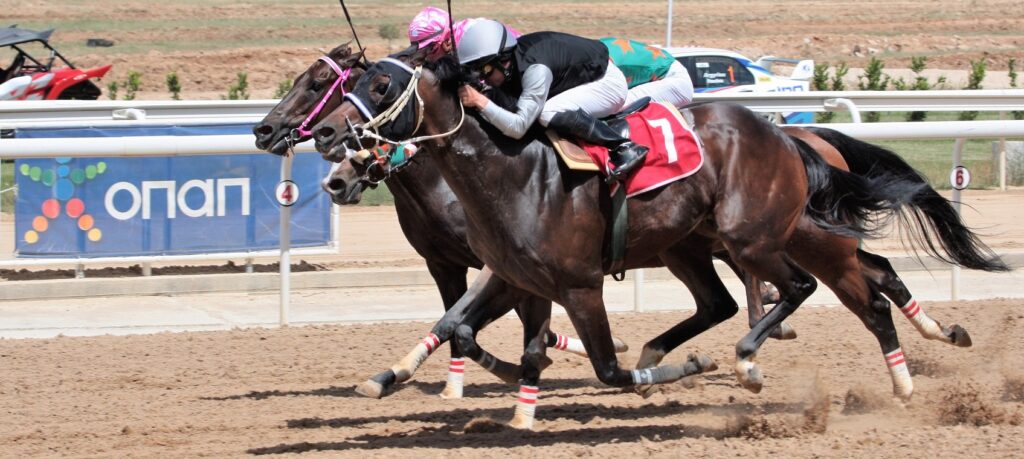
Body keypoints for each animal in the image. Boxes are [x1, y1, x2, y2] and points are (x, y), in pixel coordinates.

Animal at [307, 55, 1003, 428]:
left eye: (377, 87)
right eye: (339, 87)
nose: (333, 153)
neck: (513, 169)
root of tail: (788, 136)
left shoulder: (577, 282)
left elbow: (607, 368)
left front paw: (685, 368)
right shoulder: (514, 275)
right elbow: (468, 329)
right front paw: (509, 399)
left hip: (760, 237)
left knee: (825, 286)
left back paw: (757, 361)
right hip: (697, 245)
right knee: (832, 290)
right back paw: (908, 372)